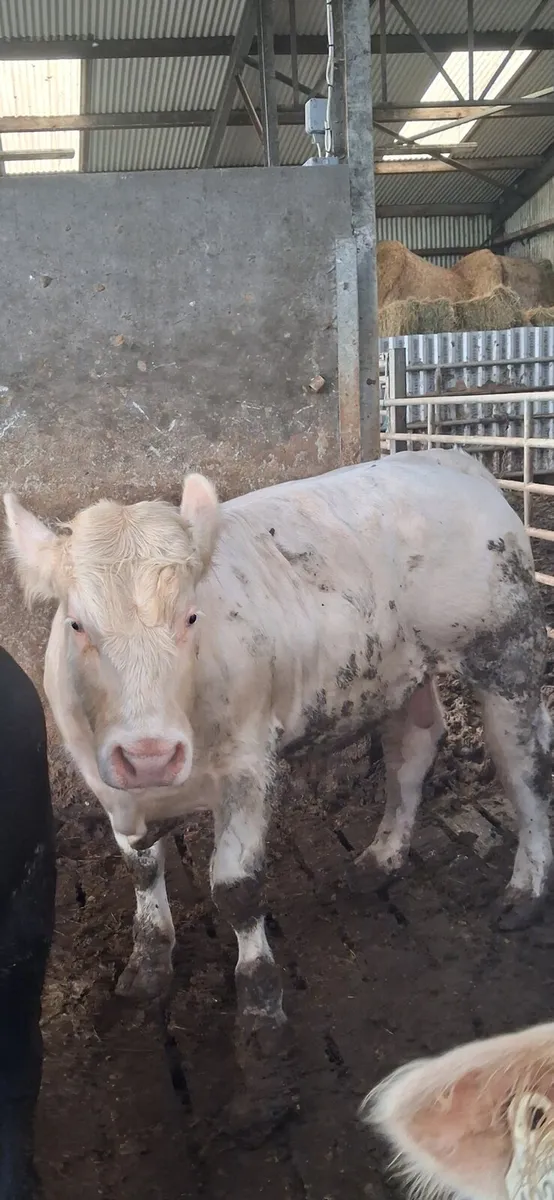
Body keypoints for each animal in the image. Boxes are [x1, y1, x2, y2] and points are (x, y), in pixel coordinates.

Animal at [3, 449, 551, 1034]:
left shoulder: (249, 768)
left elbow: (237, 889)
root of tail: (449, 457)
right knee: (412, 751)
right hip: (401, 670)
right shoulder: (106, 781)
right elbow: (142, 868)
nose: (150, 755)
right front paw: (148, 960)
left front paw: (260, 998)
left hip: (507, 658)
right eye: (77, 625)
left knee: (526, 771)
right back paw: (380, 858)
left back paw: (526, 890)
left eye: (191, 616)